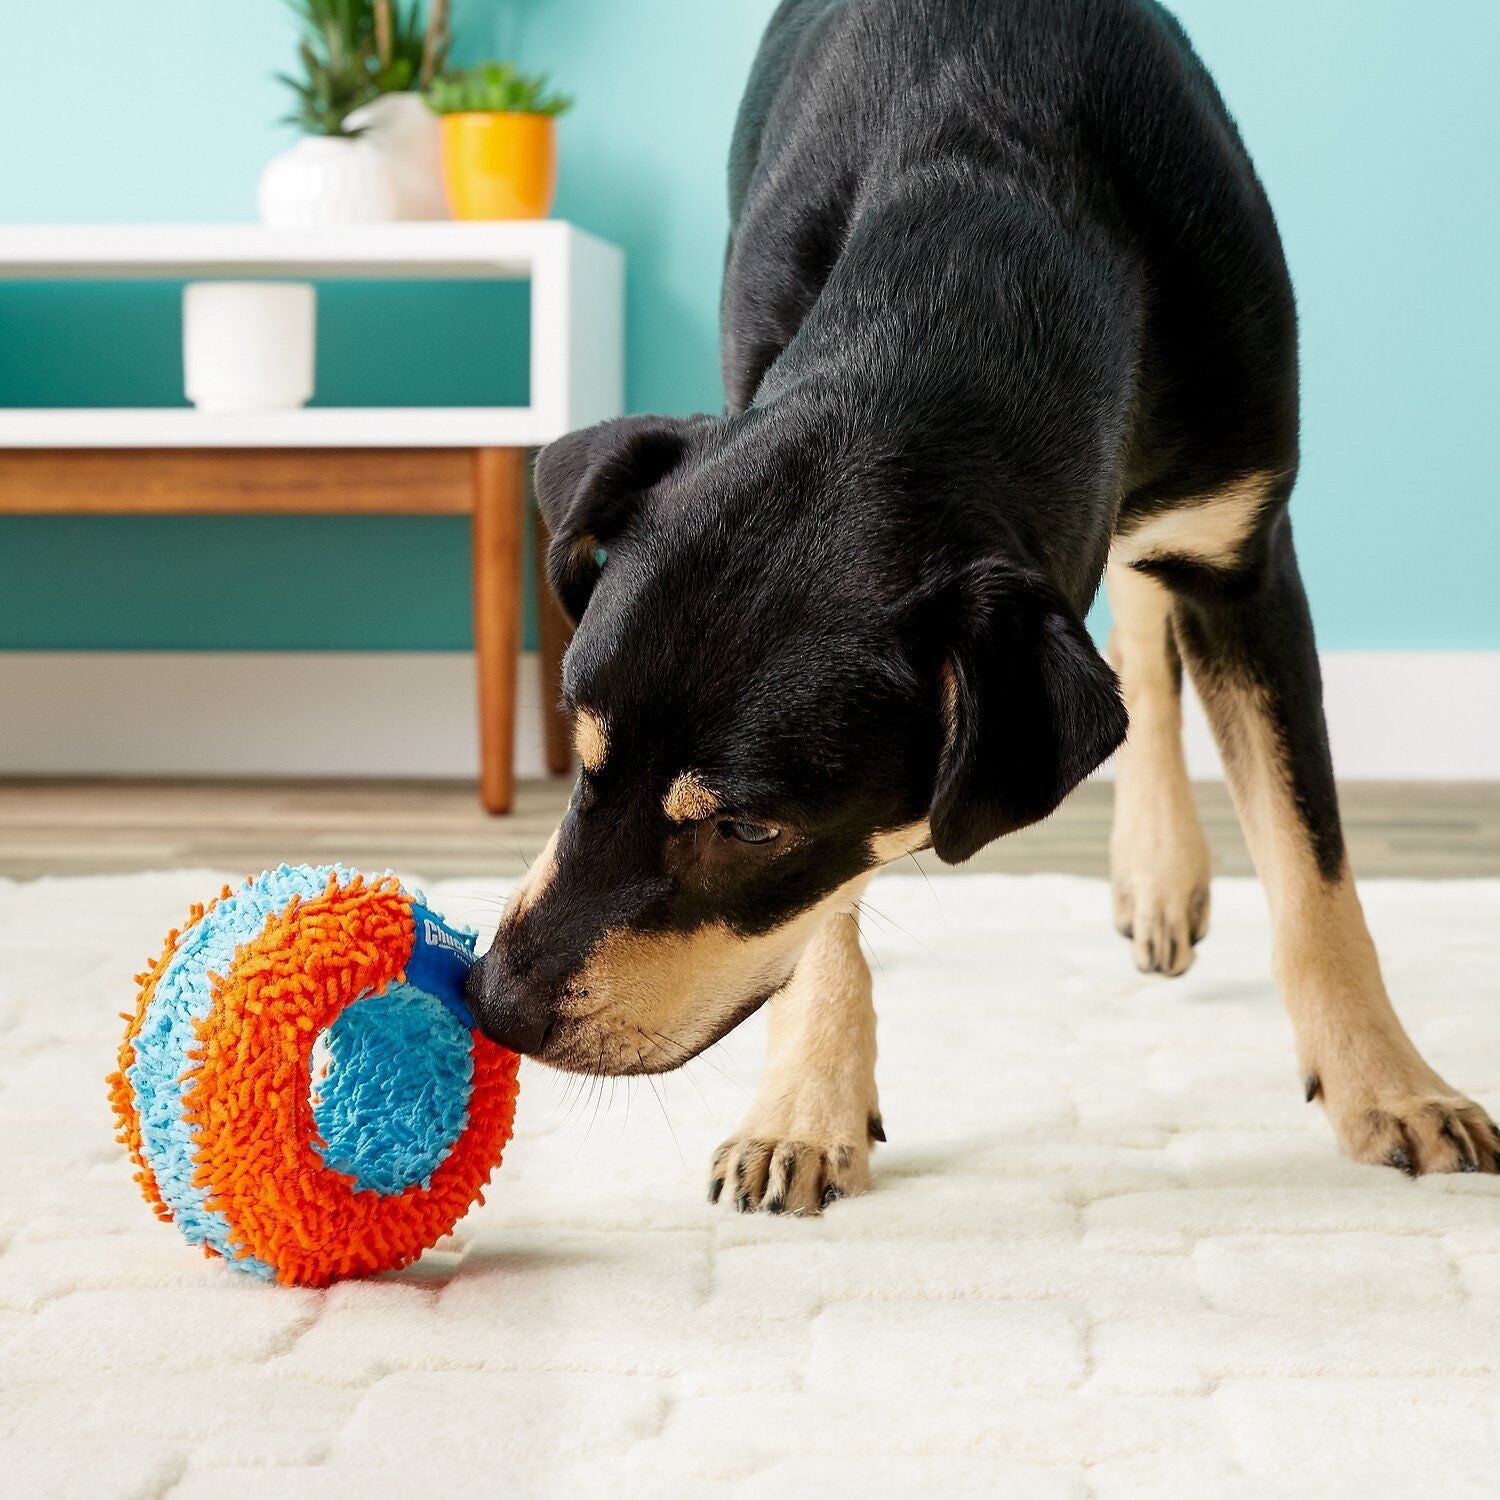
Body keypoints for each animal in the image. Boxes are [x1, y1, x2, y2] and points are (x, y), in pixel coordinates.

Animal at [462, 0, 1494, 1206]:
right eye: (579, 758)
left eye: (747, 829)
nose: (494, 1007)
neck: (979, 240)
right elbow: (827, 915)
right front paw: (803, 1110)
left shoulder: (1245, 553)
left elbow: (1312, 864)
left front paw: (1393, 1088)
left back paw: (1160, 869)